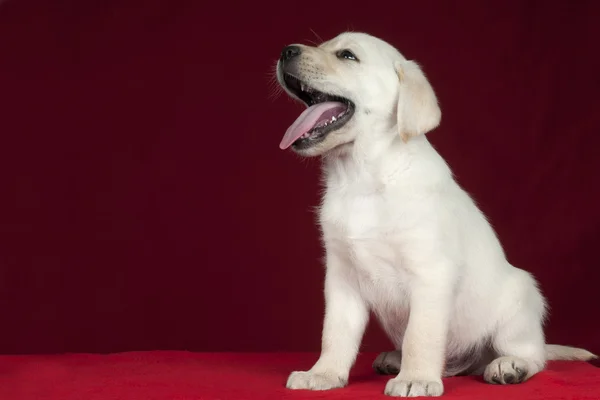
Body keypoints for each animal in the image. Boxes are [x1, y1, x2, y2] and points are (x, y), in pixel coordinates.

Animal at [276, 32, 596, 396]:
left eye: (347, 55)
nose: (286, 51)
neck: (361, 177)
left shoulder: (431, 273)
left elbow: (421, 334)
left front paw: (415, 378)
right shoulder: (341, 277)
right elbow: (335, 333)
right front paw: (324, 373)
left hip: (519, 303)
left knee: (533, 355)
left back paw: (508, 365)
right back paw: (396, 359)